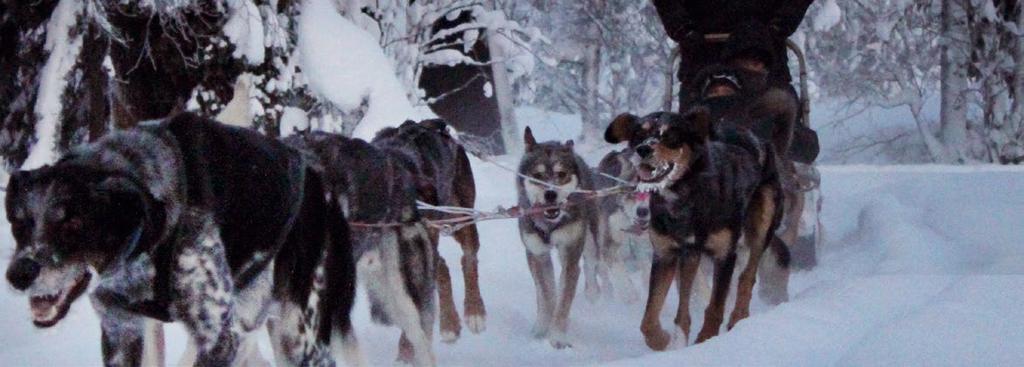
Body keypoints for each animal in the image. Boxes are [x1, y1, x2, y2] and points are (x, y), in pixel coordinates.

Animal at [512, 127, 598, 348]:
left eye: (561, 174)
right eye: (538, 175)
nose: (550, 194)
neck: (550, 225)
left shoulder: (570, 253)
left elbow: (563, 300)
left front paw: (558, 337)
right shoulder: (538, 255)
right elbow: (548, 295)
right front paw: (542, 331)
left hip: (590, 240)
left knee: (591, 264)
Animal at [606, 108, 790, 350]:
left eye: (671, 135)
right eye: (638, 134)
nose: (643, 149)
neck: (685, 195)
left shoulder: (724, 254)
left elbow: (715, 306)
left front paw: (706, 340)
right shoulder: (665, 254)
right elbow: (648, 318)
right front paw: (662, 340)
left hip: (762, 224)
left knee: (747, 276)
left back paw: (738, 318)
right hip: (691, 255)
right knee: (685, 302)